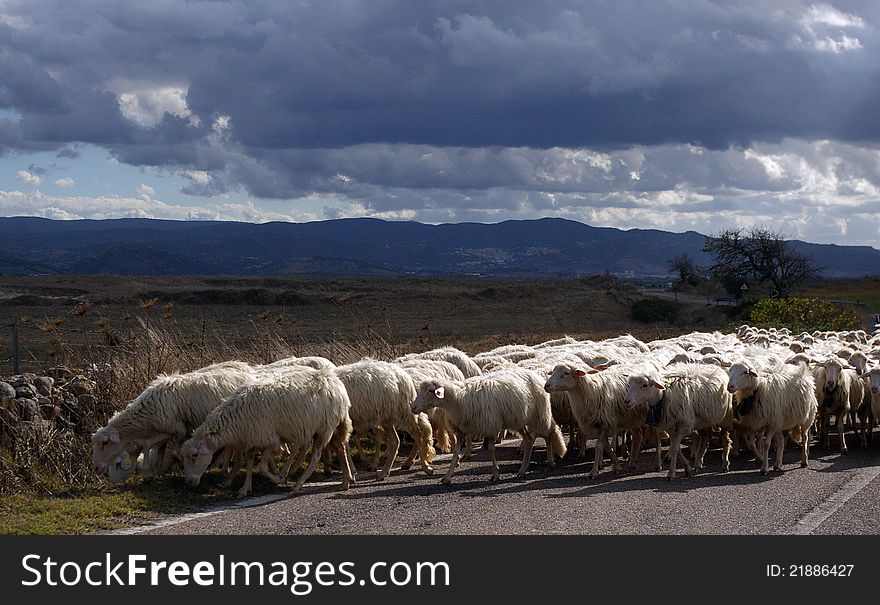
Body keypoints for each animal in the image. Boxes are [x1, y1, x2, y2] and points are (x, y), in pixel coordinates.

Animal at [182, 366, 354, 498]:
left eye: (195, 455)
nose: (189, 482)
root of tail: (335, 381)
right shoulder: (253, 439)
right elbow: (250, 463)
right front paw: (245, 489)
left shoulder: (270, 440)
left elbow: (262, 468)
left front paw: (280, 479)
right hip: (332, 425)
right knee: (341, 448)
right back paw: (346, 481)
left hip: (325, 428)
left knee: (316, 456)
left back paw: (297, 486)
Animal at [410, 366, 568, 484]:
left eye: (430, 391)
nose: (413, 407)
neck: (456, 401)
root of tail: (535, 374)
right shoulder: (461, 431)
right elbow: (455, 454)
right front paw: (447, 477)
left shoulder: (490, 426)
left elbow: (491, 450)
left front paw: (495, 474)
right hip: (517, 420)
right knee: (529, 440)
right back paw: (522, 470)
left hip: (539, 415)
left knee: (549, 435)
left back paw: (551, 462)